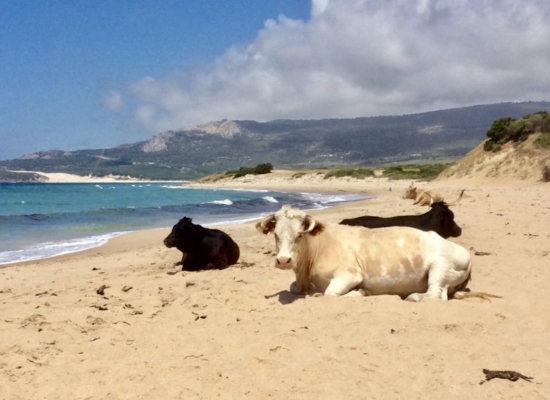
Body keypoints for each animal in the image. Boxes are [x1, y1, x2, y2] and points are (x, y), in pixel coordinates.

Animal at [256, 206, 498, 300]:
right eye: (276, 234)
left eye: (299, 234)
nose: (283, 260)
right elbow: (293, 288)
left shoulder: (350, 275)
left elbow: (330, 293)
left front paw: (360, 292)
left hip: (441, 268)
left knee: (435, 295)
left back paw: (412, 296)